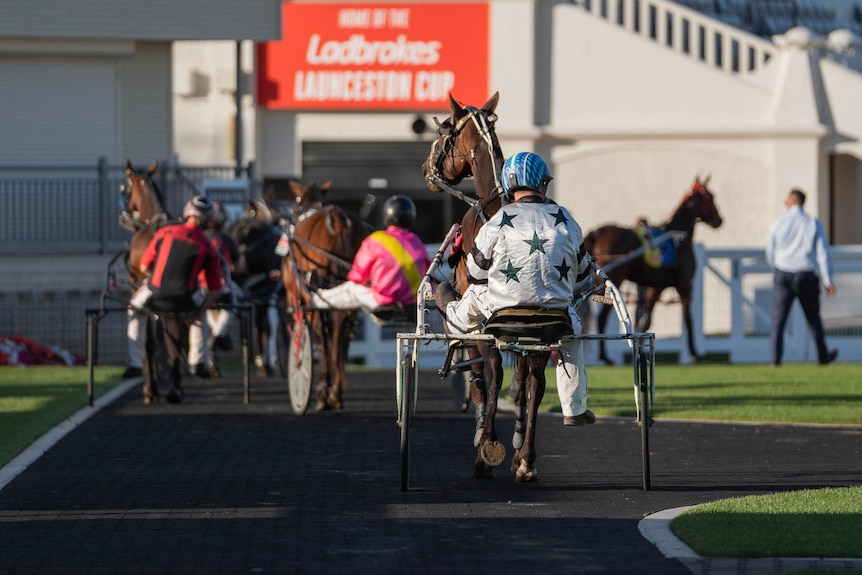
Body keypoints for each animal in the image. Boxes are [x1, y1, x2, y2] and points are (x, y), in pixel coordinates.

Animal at [280, 182, 368, 412]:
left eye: (297, 200)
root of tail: (337, 219)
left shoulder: (300, 295)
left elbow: (315, 338)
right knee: (343, 336)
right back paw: (335, 393)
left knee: (322, 334)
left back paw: (323, 393)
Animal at [584, 177, 724, 364]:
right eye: (711, 196)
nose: (719, 220)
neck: (677, 239)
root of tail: (601, 231)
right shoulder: (684, 285)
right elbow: (688, 319)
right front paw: (694, 352)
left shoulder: (655, 288)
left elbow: (646, 321)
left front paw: (641, 349)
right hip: (614, 279)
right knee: (601, 317)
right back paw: (604, 356)